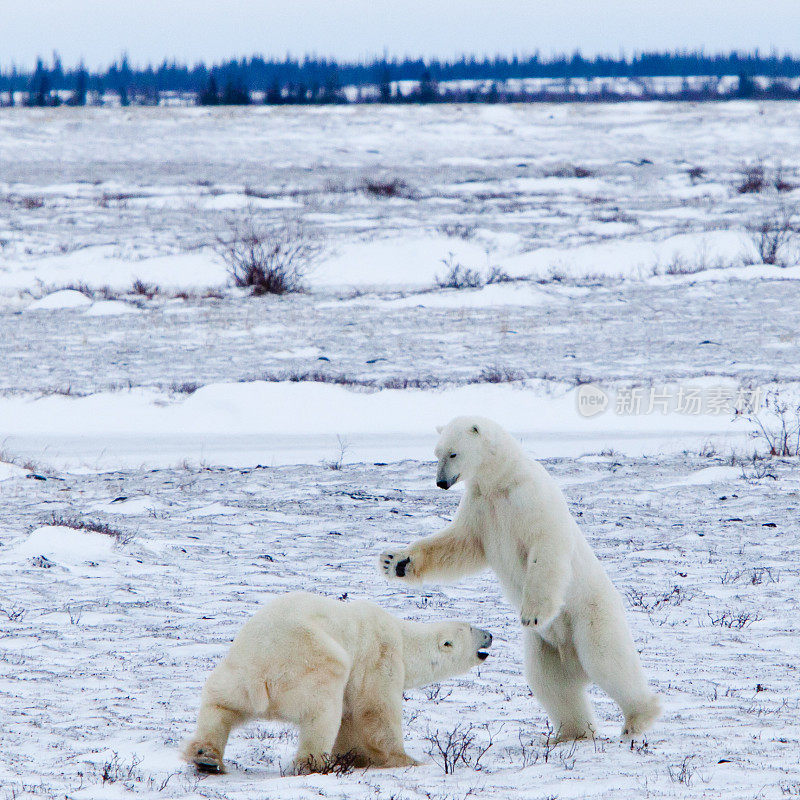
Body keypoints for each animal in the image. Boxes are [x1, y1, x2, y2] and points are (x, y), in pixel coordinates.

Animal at [184, 592, 490, 772]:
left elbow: (351, 720)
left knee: (220, 703)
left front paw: (357, 757)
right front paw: (405, 759)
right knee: (322, 713)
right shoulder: (379, 657)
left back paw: (205, 755)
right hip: (313, 664)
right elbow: (376, 710)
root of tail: (263, 673)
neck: (403, 638)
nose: (490, 635)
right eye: (472, 629)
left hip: (239, 670)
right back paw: (315, 763)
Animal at [382, 418, 664, 744]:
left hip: (589, 616)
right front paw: (395, 562)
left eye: (453, 453)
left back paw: (637, 718)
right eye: (436, 453)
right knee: (551, 684)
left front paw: (532, 614)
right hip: (545, 647)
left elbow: (545, 546)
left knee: (607, 661)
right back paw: (570, 733)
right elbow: (456, 544)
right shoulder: (480, 507)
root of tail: (573, 659)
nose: (441, 483)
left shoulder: (528, 498)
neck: (501, 480)